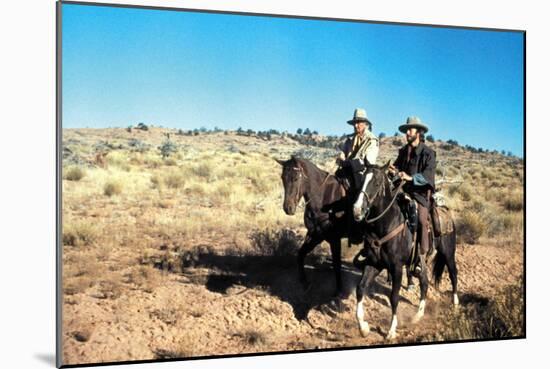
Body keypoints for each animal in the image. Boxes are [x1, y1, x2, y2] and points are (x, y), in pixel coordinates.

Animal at [278, 155, 360, 300]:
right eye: (283, 177)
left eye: (296, 178)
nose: (288, 208)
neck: (323, 199)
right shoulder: (314, 235)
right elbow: (300, 254)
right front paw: (304, 282)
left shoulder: (334, 239)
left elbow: (337, 264)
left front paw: (338, 291)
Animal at [352, 161, 460, 340]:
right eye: (361, 180)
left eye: (376, 183)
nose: (356, 210)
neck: (386, 224)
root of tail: (447, 213)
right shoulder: (374, 263)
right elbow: (360, 289)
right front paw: (363, 327)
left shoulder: (396, 267)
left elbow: (394, 297)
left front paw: (391, 331)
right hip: (422, 261)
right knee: (424, 282)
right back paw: (418, 315)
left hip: (448, 253)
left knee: (453, 273)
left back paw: (455, 302)